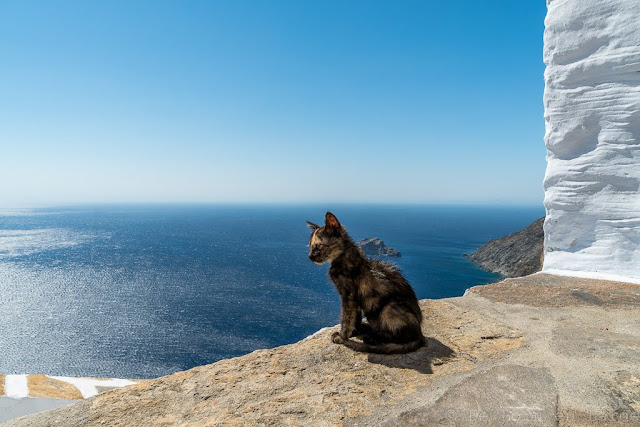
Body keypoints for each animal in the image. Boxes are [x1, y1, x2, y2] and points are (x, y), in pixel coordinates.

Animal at [308, 211, 428, 354]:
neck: (342, 257)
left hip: (389, 307)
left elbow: (346, 317)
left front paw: (342, 337)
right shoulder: (355, 299)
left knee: (400, 337)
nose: (310, 257)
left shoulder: (348, 296)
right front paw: (354, 331)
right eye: (309, 246)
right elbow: (355, 317)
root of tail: (420, 334)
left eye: (318, 246)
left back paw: (373, 338)